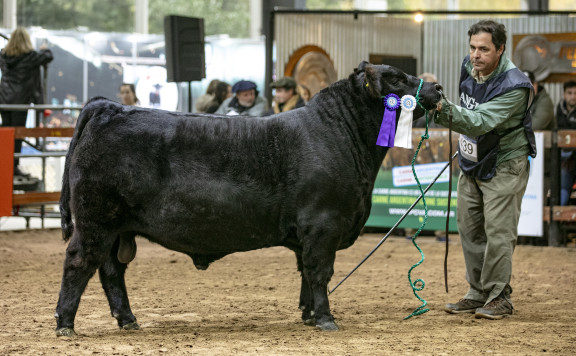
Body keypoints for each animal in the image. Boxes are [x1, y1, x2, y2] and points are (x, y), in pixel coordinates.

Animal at [55, 62, 440, 336]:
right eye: (394, 78)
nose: (436, 87)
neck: (341, 134)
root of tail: (110, 108)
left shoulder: (308, 233)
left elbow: (305, 272)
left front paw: (307, 315)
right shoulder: (323, 223)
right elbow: (320, 272)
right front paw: (326, 319)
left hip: (117, 229)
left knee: (111, 271)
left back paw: (128, 320)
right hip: (96, 220)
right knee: (79, 262)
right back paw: (65, 324)